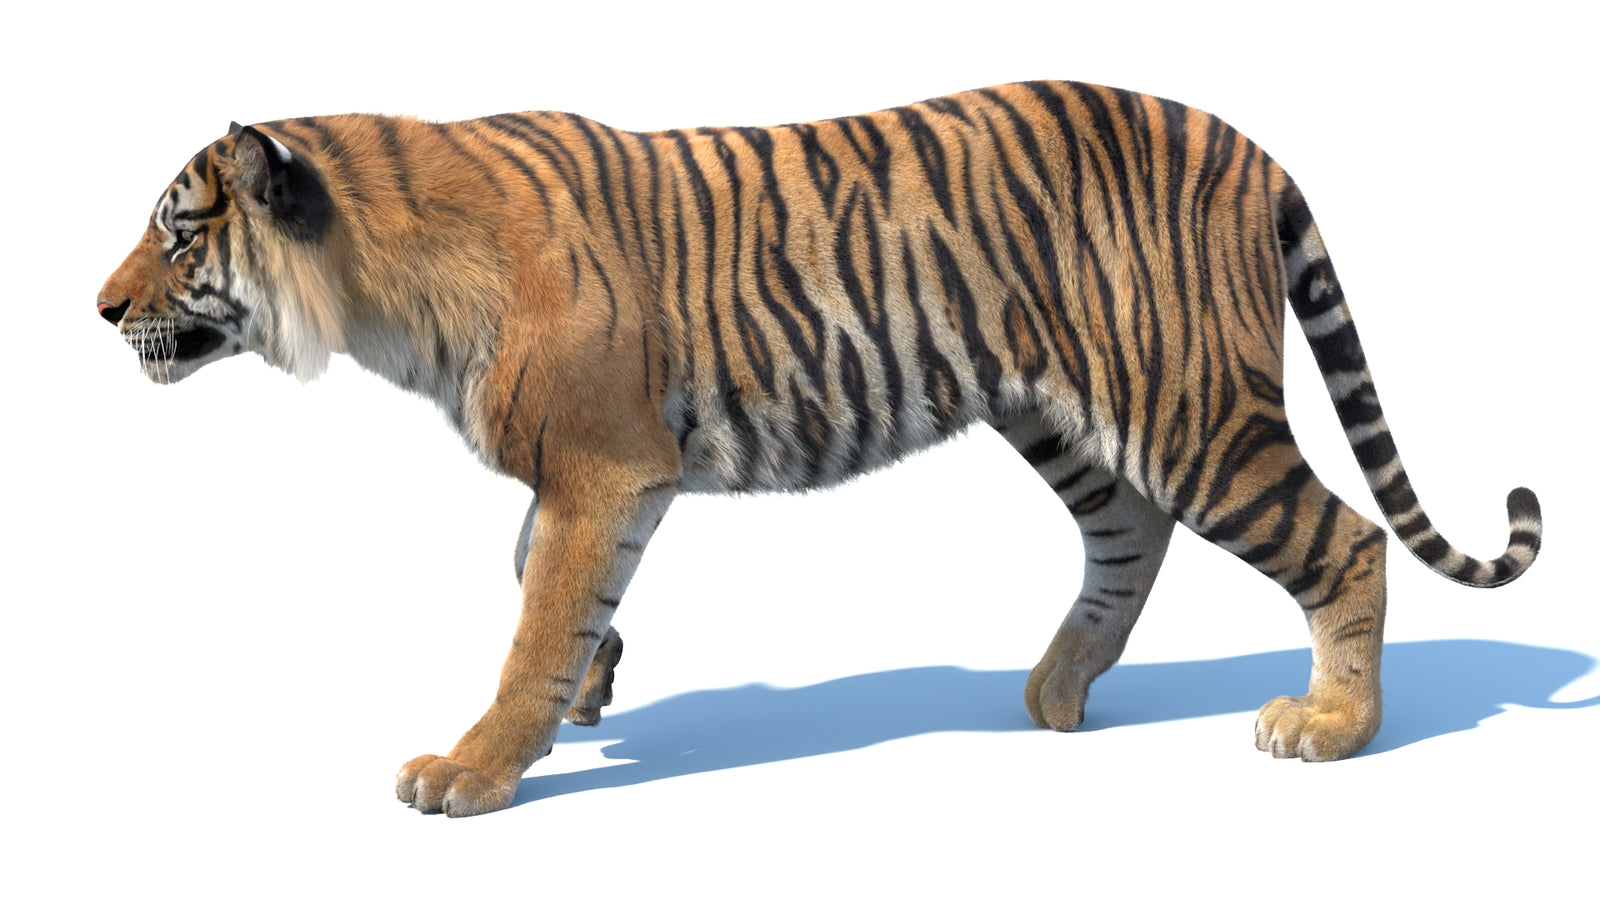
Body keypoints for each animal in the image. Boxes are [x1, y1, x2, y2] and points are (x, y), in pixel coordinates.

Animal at [99, 81, 1542, 817]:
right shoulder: (592, 475)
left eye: (177, 232)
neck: (379, 287)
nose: (100, 309)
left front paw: (472, 768)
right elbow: (539, 582)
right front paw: (595, 686)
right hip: (1057, 408)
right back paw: (1056, 694)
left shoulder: (605, 462)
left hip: (1186, 400)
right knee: (1131, 533)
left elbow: (533, 612)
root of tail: (1248, 142)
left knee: (1341, 538)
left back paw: (1331, 727)